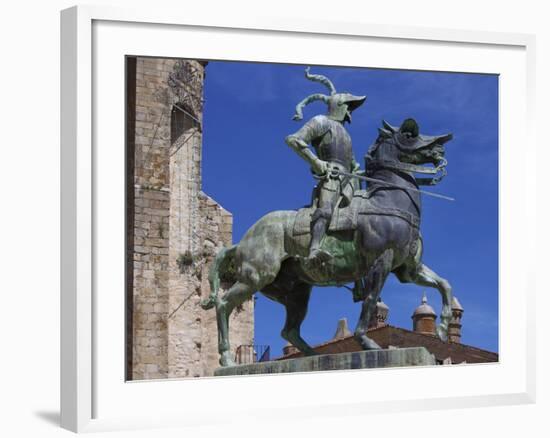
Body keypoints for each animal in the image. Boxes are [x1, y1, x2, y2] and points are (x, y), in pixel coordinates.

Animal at [205, 117, 454, 366]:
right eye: (409, 134)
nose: (441, 148)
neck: (387, 201)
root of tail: (241, 243)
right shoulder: (381, 262)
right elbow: (370, 300)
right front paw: (366, 341)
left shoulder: (408, 270)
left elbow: (444, 284)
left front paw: (443, 327)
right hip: (257, 277)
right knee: (224, 304)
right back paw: (226, 359)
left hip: (297, 293)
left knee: (289, 331)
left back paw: (315, 357)